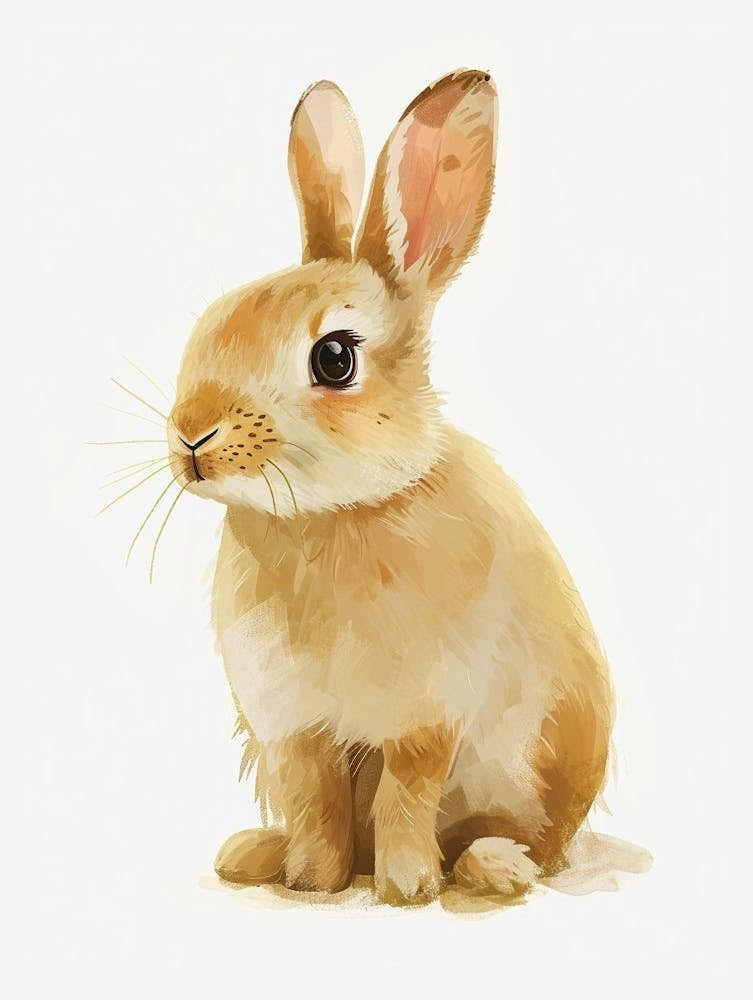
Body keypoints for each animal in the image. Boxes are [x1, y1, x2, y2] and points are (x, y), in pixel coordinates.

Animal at [166, 69, 614, 904]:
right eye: (213, 320)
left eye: (335, 358)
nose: (190, 436)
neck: (329, 515)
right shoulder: (295, 728)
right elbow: (315, 803)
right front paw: (311, 882)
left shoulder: (425, 719)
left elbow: (407, 794)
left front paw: (406, 889)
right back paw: (254, 853)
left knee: (525, 841)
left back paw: (489, 866)